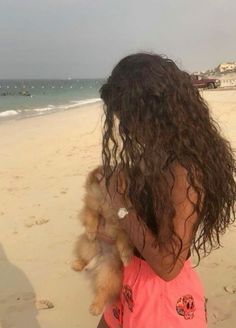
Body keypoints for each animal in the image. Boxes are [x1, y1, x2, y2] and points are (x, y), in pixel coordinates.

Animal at [72, 167, 134, 316]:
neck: (109, 207)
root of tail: (101, 255)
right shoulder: (92, 207)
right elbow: (92, 215)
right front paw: (91, 232)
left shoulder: (124, 229)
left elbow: (123, 240)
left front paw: (126, 256)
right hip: (89, 247)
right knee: (85, 257)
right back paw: (78, 263)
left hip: (107, 272)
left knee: (103, 290)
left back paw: (96, 306)